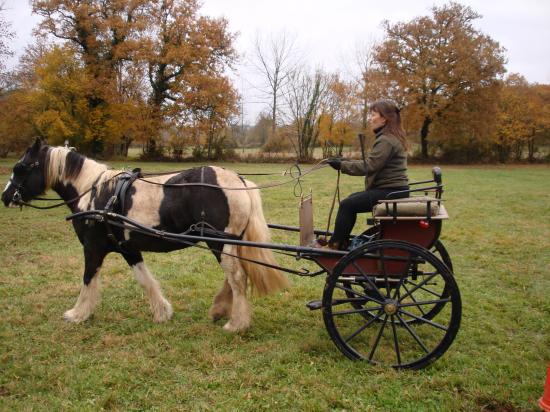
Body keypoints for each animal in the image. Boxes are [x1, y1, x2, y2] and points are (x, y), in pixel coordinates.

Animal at [1, 140, 294, 334]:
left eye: (21, 167)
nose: (5, 197)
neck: (94, 193)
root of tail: (239, 180)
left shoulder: (92, 249)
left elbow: (87, 280)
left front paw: (77, 313)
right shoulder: (127, 248)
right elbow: (145, 280)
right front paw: (162, 312)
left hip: (219, 242)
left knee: (237, 278)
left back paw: (236, 323)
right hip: (226, 244)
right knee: (234, 278)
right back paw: (220, 309)